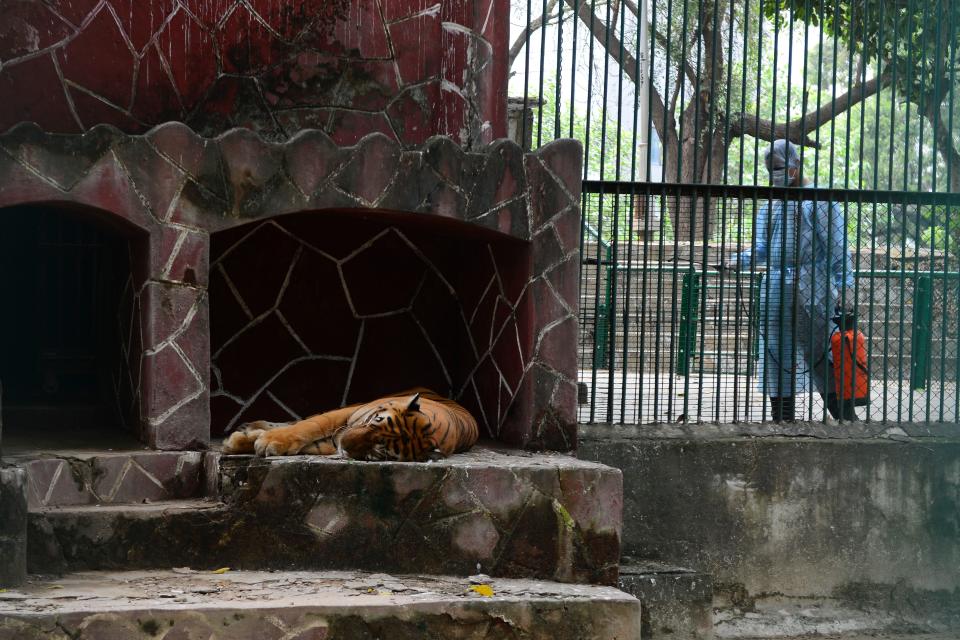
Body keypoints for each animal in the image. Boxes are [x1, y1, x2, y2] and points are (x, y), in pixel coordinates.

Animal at [220, 388, 476, 462]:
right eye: (376, 422)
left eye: (379, 451)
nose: (344, 443)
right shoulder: (344, 415)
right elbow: (306, 427)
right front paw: (241, 442)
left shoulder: (330, 443)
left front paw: (249, 442)